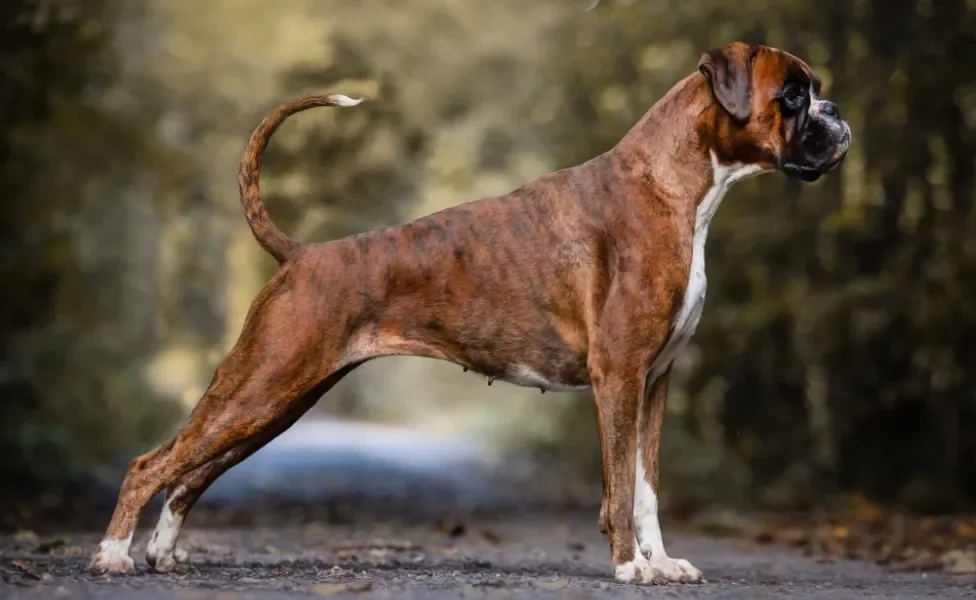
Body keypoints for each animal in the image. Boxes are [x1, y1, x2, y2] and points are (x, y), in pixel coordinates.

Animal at [95, 43, 852, 584]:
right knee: (153, 463)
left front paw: (661, 561)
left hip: (279, 401)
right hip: (261, 387)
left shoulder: (655, 382)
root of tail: (302, 254)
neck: (675, 187)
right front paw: (629, 567)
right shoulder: (619, 378)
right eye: (793, 94)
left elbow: (646, 487)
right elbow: (617, 485)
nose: (838, 115)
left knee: (191, 473)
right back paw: (113, 555)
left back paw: (164, 553)